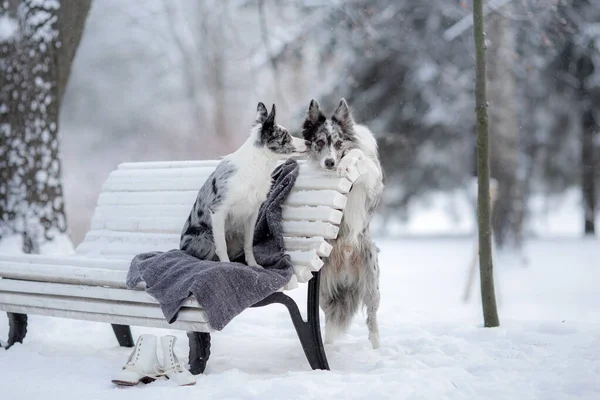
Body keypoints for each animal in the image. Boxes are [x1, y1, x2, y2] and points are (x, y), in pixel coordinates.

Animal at [179, 101, 304, 268]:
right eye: (286, 136)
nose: (308, 142)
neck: (256, 166)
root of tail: (181, 247)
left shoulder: (252, 214)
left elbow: (249, 245)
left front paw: (253, 265)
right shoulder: (218, 211)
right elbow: (221, 247)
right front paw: (227, 266)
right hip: (206, 239)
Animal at [300, 98, 384, 348]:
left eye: (338, 143)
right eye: (319, 142)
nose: (330, 162)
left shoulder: (371, 180)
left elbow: (358, 155)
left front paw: (348, 161)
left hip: (371, 283)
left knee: (372, 320)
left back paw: (377, 350)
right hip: (324, 290)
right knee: (328, 320)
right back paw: (330, 347)